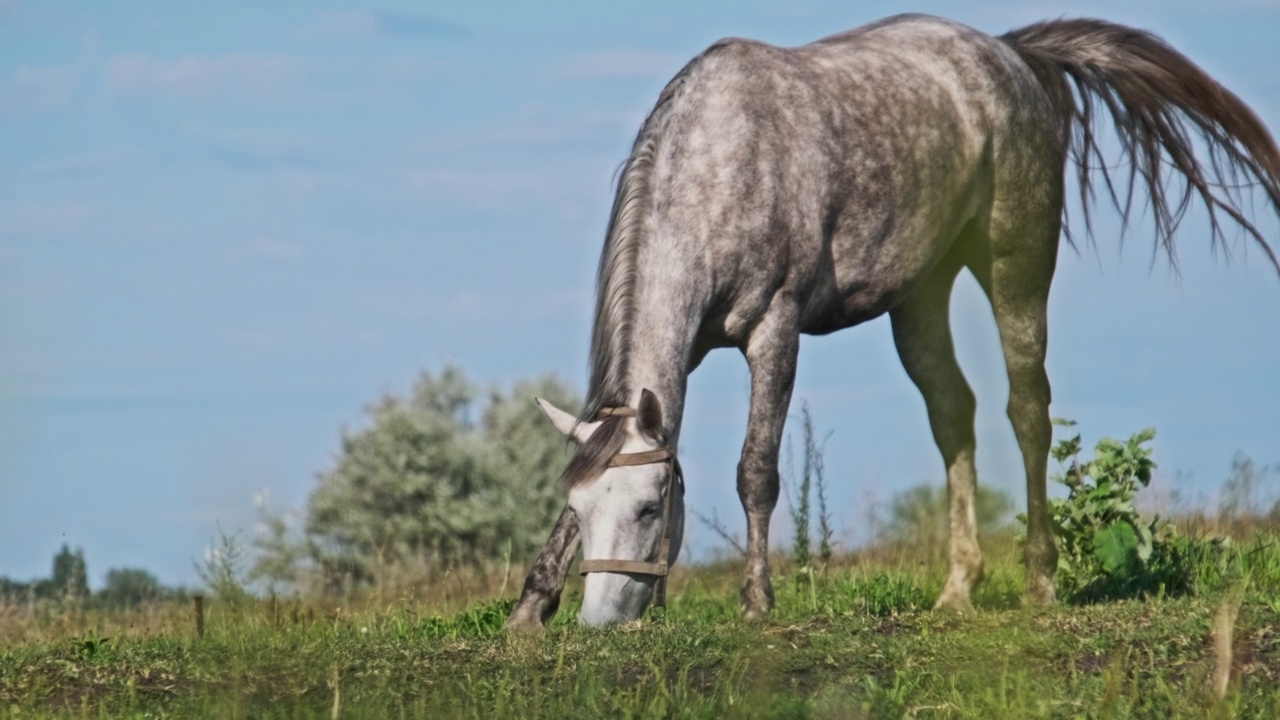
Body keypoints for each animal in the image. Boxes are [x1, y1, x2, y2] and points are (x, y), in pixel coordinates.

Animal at [504, 14, 1280, 625]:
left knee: (1028, 410)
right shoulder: (683, 356)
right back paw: (958, 589)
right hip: (921, 296)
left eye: (647, 507)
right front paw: (529, 609)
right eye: (582, 508)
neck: (723, 164)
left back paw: (1039, 579)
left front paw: (757, 600)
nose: (601, 620)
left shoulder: (775, 331)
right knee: (955, 416)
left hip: (1016, 265)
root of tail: (1010, 57)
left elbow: (757, 469)